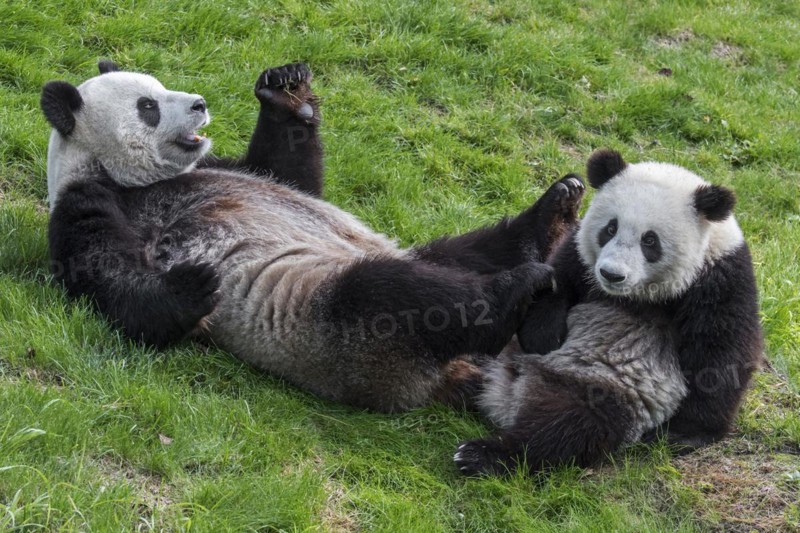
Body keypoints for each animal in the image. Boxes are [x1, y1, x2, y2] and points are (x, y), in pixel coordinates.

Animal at [41, 60, 586, 412]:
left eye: (161, 88)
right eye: (149, 106)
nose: (198, 104)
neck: (134, 178)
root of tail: (465, 371)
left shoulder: (228, 165)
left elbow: (289, 173)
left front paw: (285, 92)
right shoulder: (93, 200)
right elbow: (108, 279)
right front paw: (191, 284)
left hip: (399, 263)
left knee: (466, 253)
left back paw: (553, 215)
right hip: (350, 345)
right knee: (390, 296)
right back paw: (513, 292)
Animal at [454, 149, 764, 476]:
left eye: (650, 240)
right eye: (610, 228)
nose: (611, 274)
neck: (637, 295)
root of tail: (509, 390)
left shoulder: (720, 278)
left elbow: (720, 354)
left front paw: (685, 434)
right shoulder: (579, 253)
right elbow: (557, 281)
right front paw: (545, 337)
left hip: (603, 390)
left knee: (568, 429)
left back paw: (484, 454)